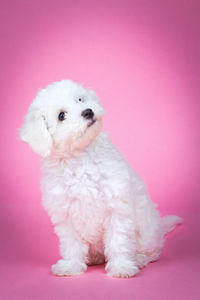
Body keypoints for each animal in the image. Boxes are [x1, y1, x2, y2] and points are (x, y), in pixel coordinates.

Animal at [19, 80, 182, 278]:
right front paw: (71, 266)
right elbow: (72, 244)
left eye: (80, 99)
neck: (81, 157)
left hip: (147, 231)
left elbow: (118, 241)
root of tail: (159, 228)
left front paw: (121, 267)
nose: (88, 111)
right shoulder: (66, 214)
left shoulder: (117, 206)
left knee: (152, 251)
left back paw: (139, 258)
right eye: (61, 115)